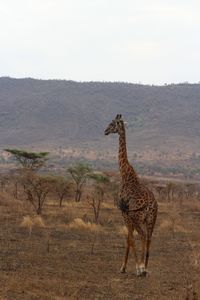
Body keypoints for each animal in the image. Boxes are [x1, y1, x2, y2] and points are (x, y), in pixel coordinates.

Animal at [104, 115, 158, 276]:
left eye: (112, 124)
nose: (105, 131)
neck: (125, 173)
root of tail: (150, 204)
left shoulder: (124, 212)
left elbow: (130, 239)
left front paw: (126, 267)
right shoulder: (128, 216)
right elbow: (129, 239)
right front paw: (126, 267)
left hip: (137, 217)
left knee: (142, 236)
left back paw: (141, 268)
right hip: (151, 219)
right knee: (149, 238)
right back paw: (145, 267)